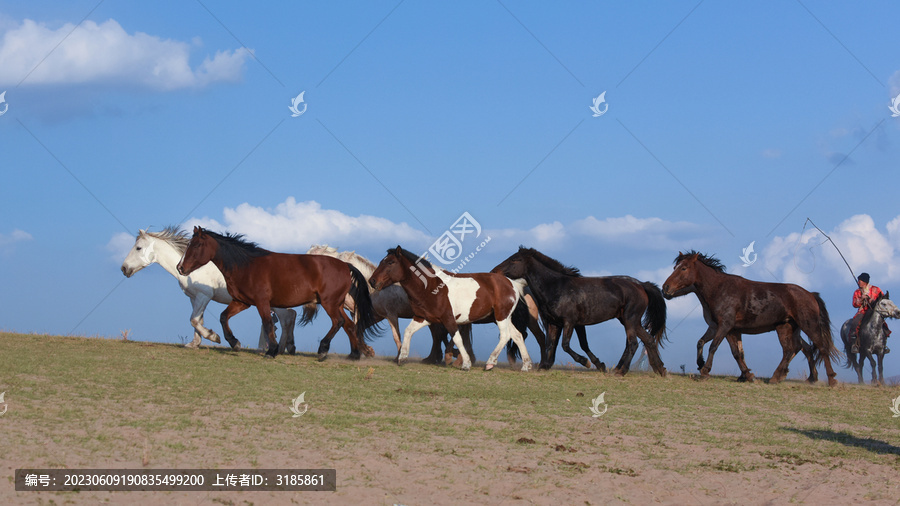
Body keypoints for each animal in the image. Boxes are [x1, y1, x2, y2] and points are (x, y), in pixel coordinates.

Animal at [121, 227, 298, 350]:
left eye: (138, 248)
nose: (124, 268)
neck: (194, 268)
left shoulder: (203, 296)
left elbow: (194, 319)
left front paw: (214, 337)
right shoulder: (194, 298)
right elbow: (197, 319)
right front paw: (194, 343)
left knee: (287, 318)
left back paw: (281, 348)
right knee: (290, 317)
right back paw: (288, 347)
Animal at [178, 227, 378, 358]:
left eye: (196, 245)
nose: (180, 268)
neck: (247, 266)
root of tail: (345, 265)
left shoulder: (262, 302)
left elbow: (267, 324)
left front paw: (271, 350)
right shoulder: (242, 302)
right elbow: (223, 317)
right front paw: (233, 342)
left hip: (330, 304)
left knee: (339, 322)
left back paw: (323, 350)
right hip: (337, 304)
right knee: (349, 325)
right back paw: (354, 354)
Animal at [370, 246, 532, 372]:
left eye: (390, 262)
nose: (372, 281)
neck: (431, 286)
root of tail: (513, 283)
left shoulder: (448, 319)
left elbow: (457, 339)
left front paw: (466, 364)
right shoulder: (423, 318)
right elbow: (408, 331)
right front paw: (402, 358)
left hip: (500, 316)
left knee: (505, 336)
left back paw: (490, 363)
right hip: (503, 317)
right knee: (517, 335)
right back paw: (526, 365)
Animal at [492, 246, 668, 376]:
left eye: (515, 259)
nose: (495, 271)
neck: (557, 287)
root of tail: (641, 285)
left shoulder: (569, 322)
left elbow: (566, 345)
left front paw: (587, 362)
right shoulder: (555, 323)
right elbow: (551, 344)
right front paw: (545, 365)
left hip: (630, 319)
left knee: (633, 343)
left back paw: (621, 371)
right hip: (629, 320)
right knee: (648, 340)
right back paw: (660, 369)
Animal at [656, 250, 840, 388]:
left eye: (684, 268)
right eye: (675, 266)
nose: (665, 288)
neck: (720, 290)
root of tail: (811, 294)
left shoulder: (724, 326)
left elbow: (713, 347)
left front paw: (705, 371)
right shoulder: (729, 329)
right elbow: (735, 353)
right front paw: (748, 375)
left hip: (808, 325)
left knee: (820, 347)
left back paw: (831, 379)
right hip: (785, 328)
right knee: (791, 349)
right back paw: (778, 377)